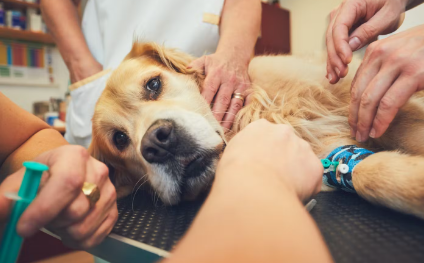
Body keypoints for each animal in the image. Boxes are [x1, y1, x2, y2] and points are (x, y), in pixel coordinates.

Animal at [88, 42, 424, 220]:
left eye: (153, 84)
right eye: (119, 139)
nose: (158, 143)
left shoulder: (365, 98)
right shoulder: (328, 156)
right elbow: (370, 174)